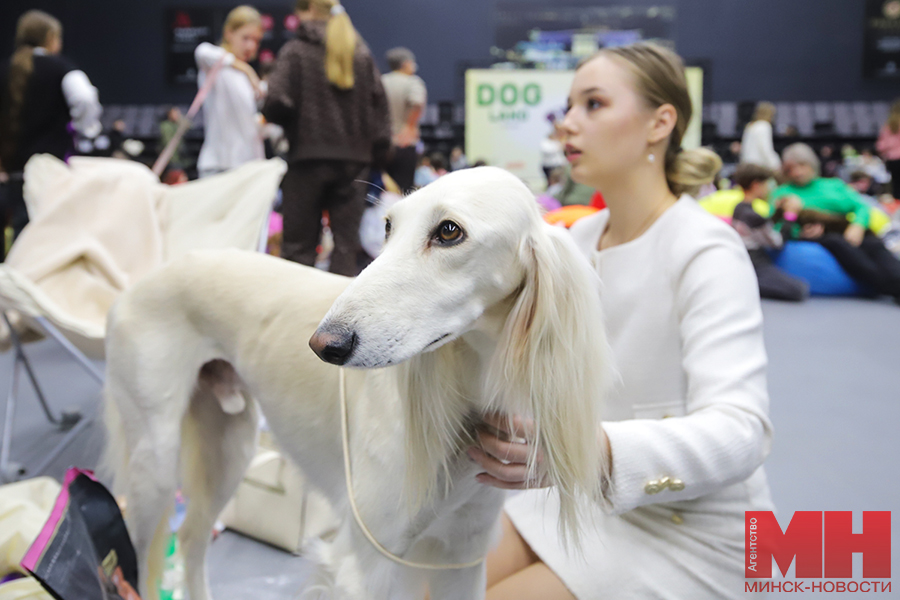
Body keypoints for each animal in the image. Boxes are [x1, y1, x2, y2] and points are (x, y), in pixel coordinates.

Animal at [102, 166, 608, 600]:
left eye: (449, 231)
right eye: (387, 226)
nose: (323, 344)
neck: (468, 393)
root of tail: (140, 283)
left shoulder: (462, 557)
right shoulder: (367, 565)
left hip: (229, 446)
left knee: (191, 538)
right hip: (155, 461)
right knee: (139, 559)